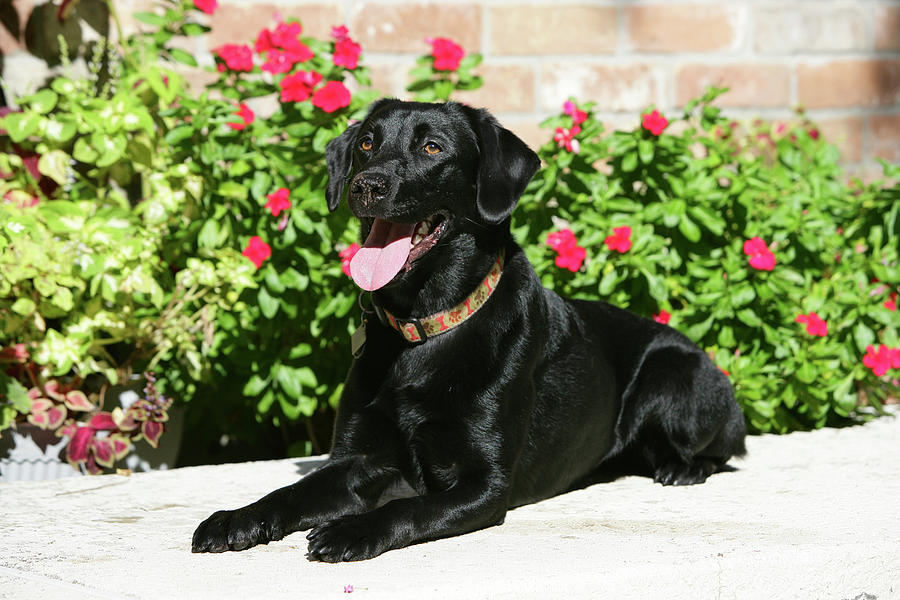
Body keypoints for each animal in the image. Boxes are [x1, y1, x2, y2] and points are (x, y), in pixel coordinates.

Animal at [192, 99, 744, 564]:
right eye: (367, 143)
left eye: (432, 148)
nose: (365, 185)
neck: (421, 328)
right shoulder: (358, 460)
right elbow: (289, 493)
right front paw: (236, 519)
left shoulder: (484, 485)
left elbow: (404, 509)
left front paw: (349, 530)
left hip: (672, 379)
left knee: (718, 451)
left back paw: (682, 467)